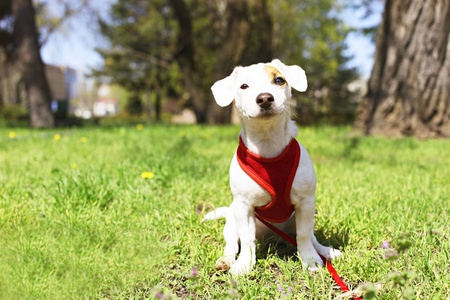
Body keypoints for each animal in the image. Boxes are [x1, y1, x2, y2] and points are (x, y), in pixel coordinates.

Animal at [201, 59, 342, 276]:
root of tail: (274, 238)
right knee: (232, 244)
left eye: (279, 80)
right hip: (232, 220)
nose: (265, 98)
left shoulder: (306, 203)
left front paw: (310, 260)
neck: (267, 144)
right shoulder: (244, 206)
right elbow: (247, 240)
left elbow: (303, 236)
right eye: (244, 86)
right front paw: (244, 264)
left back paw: (325, 251)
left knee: (310, 237)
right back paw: (226, 260)